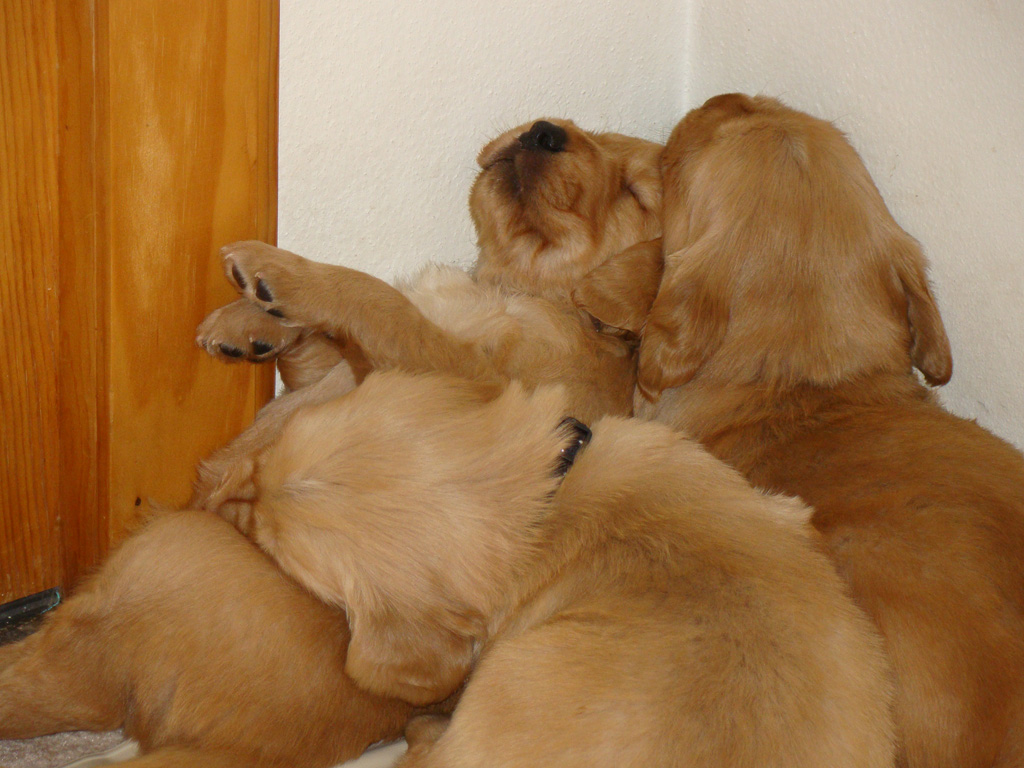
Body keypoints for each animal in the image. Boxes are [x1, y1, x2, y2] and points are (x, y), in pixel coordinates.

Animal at [192, 118, 663, 518]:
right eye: (593, 136)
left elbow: (384, 300)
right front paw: (246, 321)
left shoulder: (479, 385)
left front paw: (281, 271)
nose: (543, 131)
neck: (509, 288)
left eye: (633, 193)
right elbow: (323, 346)